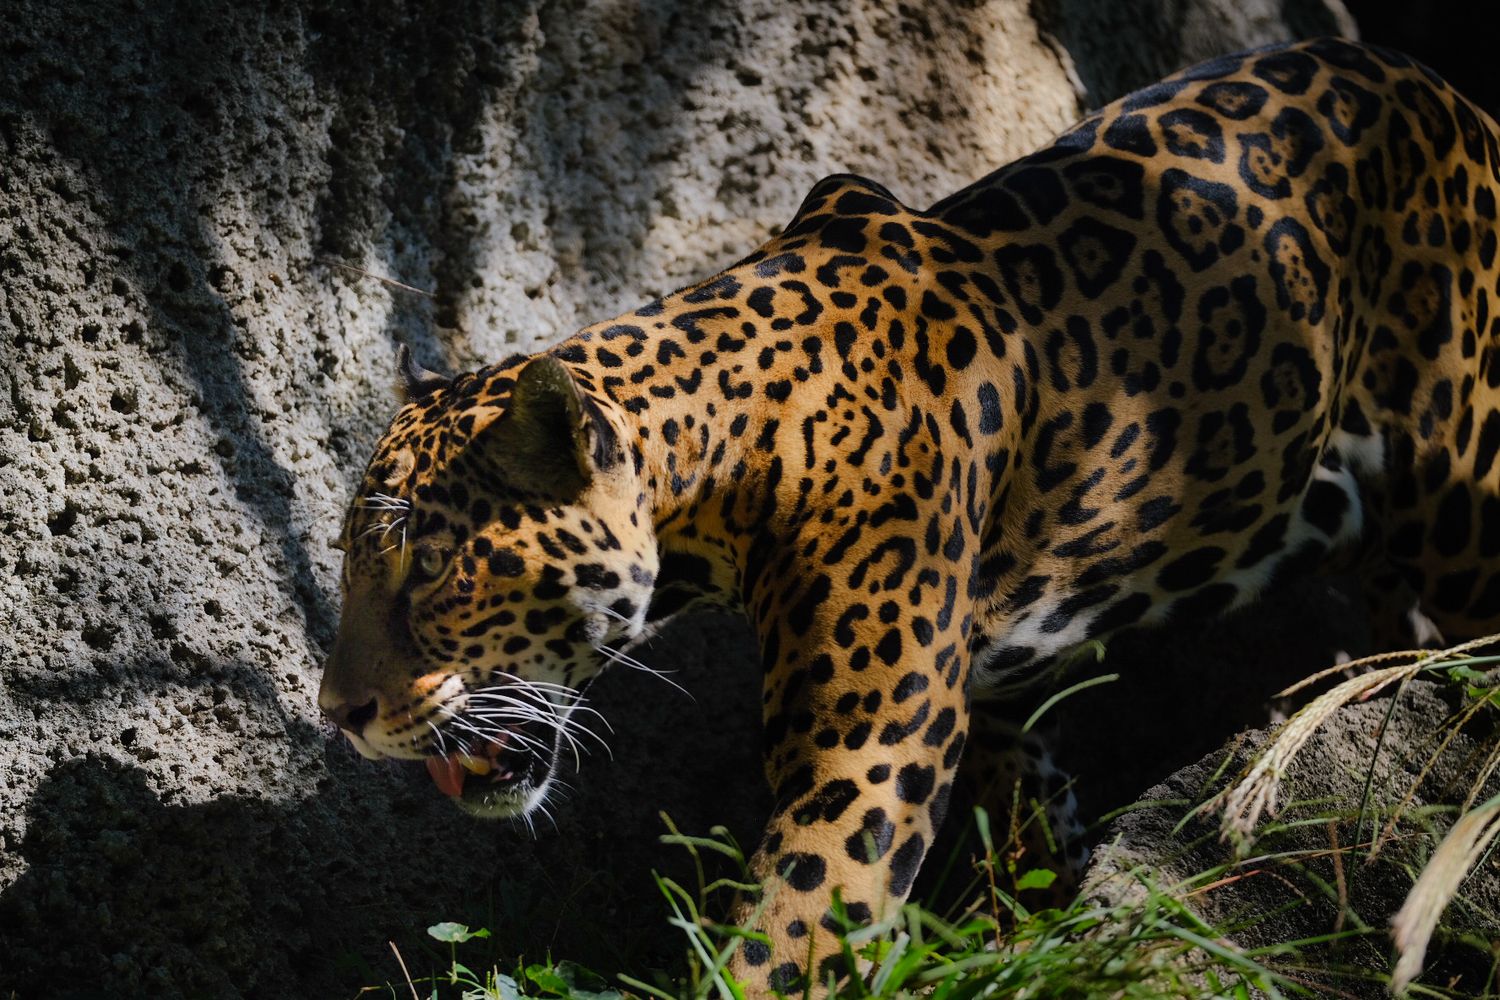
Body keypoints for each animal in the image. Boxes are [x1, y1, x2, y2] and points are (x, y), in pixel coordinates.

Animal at [320, 38, 1500, 995]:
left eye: (434, 568)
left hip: (1462, 489)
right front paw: (1031, 942)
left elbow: (783, 945)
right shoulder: (994, 694)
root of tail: (1450, 93)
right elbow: (1030, 834)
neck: (728, 445)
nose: (338, 715)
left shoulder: (863, 760)